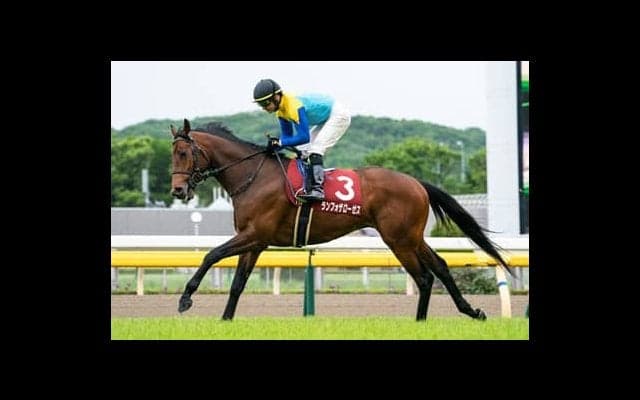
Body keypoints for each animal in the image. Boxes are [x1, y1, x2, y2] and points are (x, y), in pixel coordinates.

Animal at [170, 119, 512, 321]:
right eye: (173, 154)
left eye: (184, 153)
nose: (178, 190)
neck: (254, 176)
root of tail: (416, 182)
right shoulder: (254, 241)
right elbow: (237, 283)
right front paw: (225, 320)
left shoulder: (255, 235)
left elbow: (211, 254)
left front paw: (185, 299)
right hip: (412, 236)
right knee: (439, 267)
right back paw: (469, 311)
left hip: (399, 239)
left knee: (424, 276)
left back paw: (421, 321)